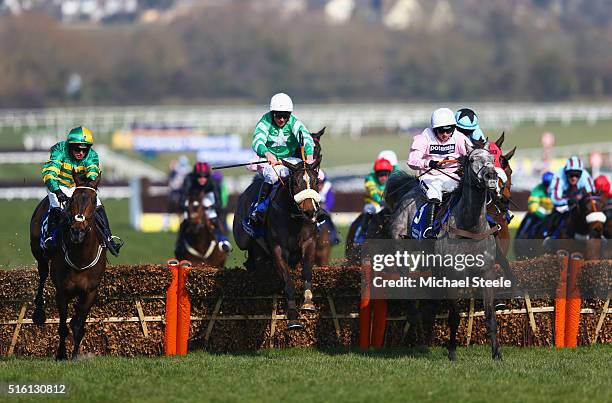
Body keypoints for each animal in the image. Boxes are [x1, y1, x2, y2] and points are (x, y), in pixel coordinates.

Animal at [29, 174, 106, 360]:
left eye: (94, 200)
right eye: (72, 200)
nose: (78, 231)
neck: (80, 258)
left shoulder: (90, 292)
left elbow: (78, 325)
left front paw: (75, 355)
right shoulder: (62, 292)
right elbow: (63, 327)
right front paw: (61, 354)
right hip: (38, 253)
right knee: (42, 274)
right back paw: (38, 313)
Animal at [388, 148, 502, 360]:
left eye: (492, 158)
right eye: (472, 159)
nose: (491, 176)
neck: (470, 227)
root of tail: (410, 188)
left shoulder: (486, 274)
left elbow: (490, 315)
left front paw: (496, 353)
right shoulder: (452, 276)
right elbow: (454, 316)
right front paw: (451, 352)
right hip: (399, 242)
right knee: (404, 276)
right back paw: (414, 314)